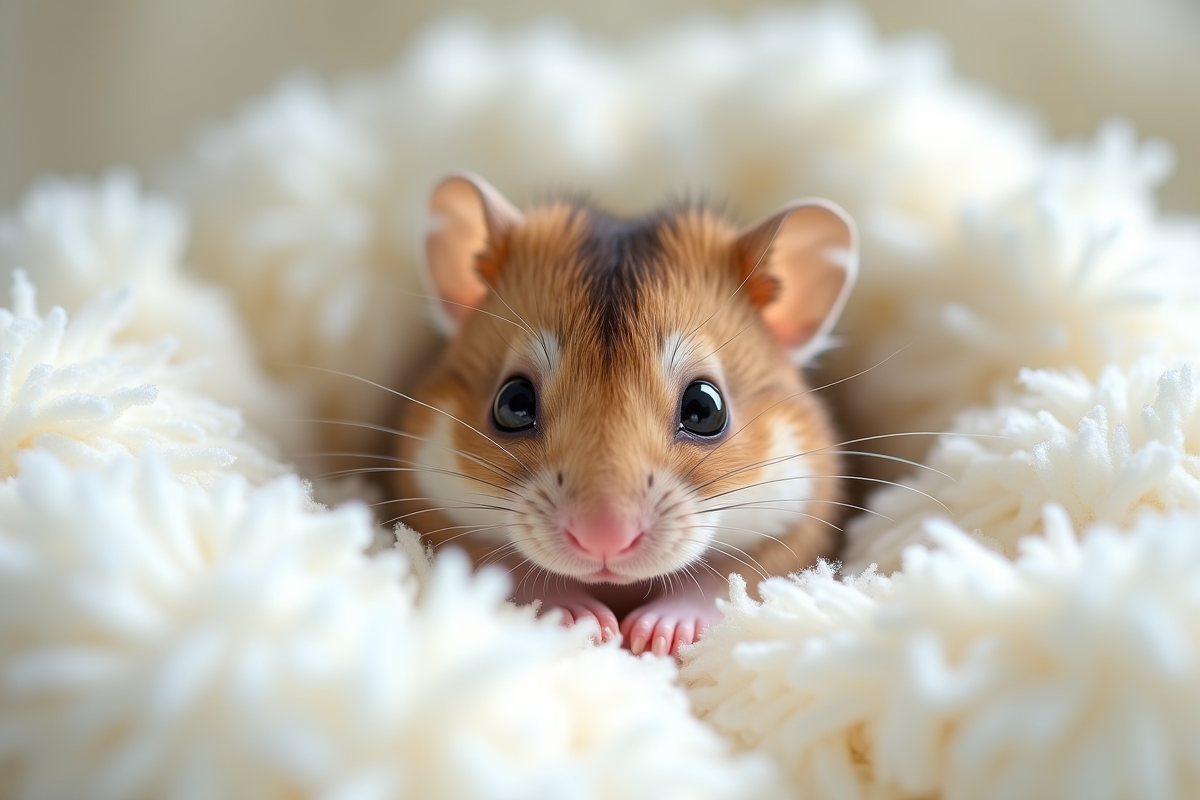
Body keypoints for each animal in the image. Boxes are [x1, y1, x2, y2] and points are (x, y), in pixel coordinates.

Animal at [392, 172, 857, 657]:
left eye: (705, 408)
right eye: (512, 403)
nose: (604, 541)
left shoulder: (799, 535)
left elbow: (724, 582)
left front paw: (654, 636)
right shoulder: (434, 522)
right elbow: (507, 569)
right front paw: (590, 625)